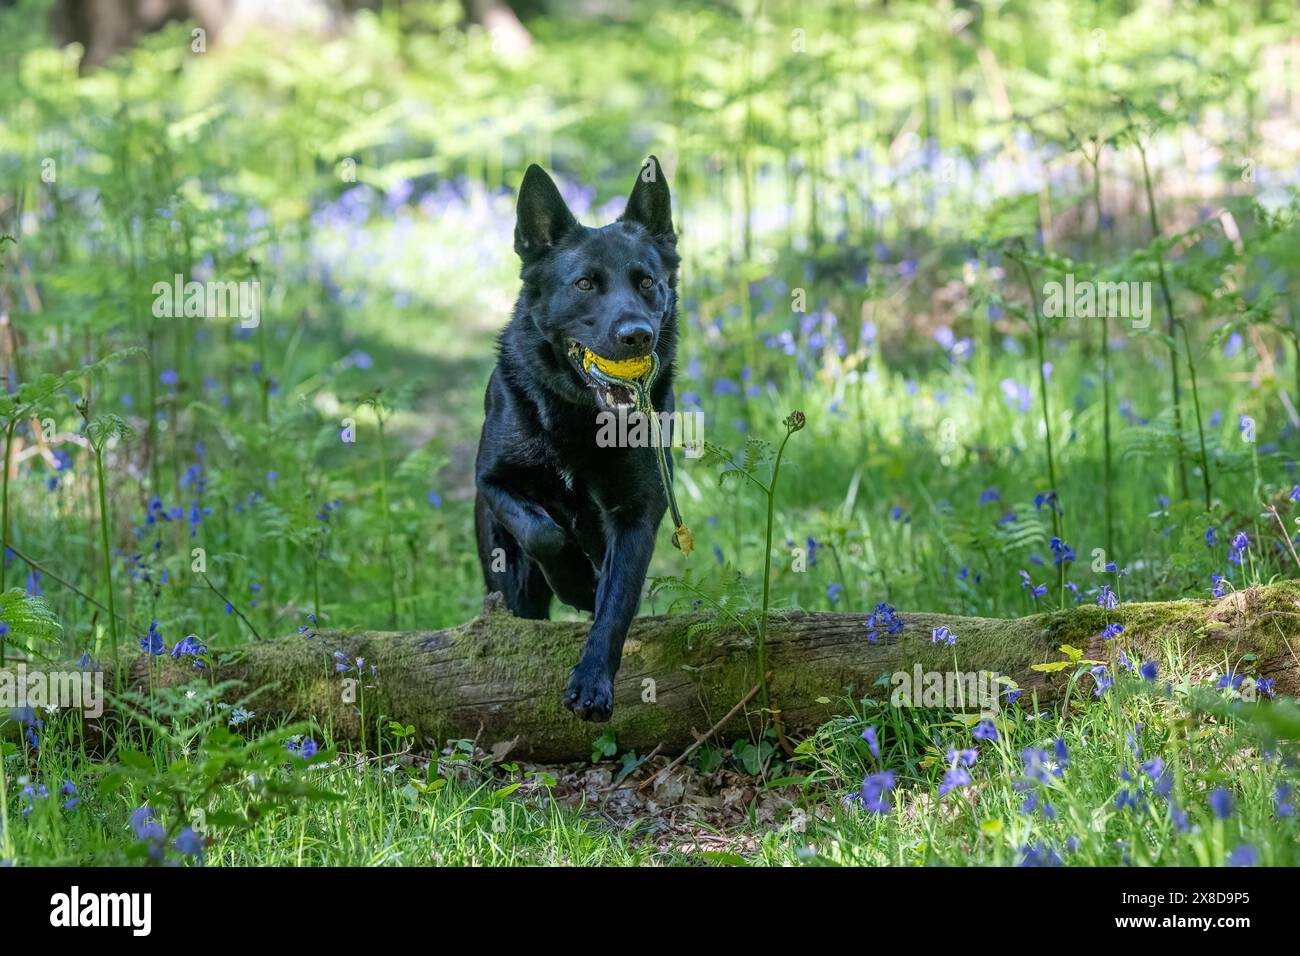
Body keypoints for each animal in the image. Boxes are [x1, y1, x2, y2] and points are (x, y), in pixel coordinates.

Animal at [475, 157, 681, 723]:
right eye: (585, 283)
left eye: (647, 282)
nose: (637, 335)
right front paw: (574, 579)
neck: (577, 417)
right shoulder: (492, 481)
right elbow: (543, 532)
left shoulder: (637, 511)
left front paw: (593, 682)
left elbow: (618, 600)